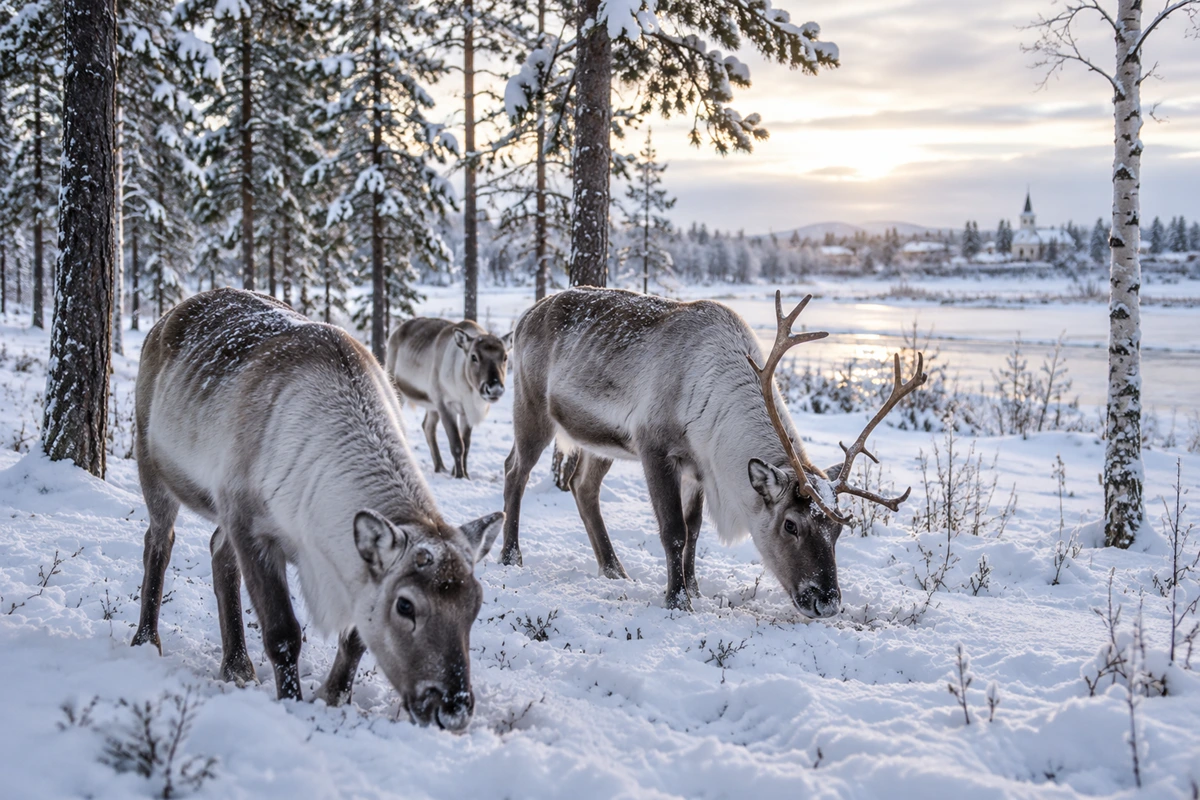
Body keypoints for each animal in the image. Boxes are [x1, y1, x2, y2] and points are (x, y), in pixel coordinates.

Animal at [386, 318, 513, 479]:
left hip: (432, 404)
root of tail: (397, 330)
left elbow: (466, 444)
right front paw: (459, 475)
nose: (494, 388)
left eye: (505, 357)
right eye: (474, 356)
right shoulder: (445, 405)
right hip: (398, 389)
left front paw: (465, 474)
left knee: (427, 426)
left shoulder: (465, 412)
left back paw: (440, 467)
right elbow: (457, 445)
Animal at [499, 287, 925, 615]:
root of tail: (523, 316)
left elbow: (695, 530)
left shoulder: (700, 468)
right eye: (791, 524)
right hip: (530, 405)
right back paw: (510, 556)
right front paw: (677, 601)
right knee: (514, 470)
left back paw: (613, 569)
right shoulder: (654, 446)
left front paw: (694, 589)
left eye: (837, 529)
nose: (827, 603)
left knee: (582, 485)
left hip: (601, 440)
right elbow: (673, 531)